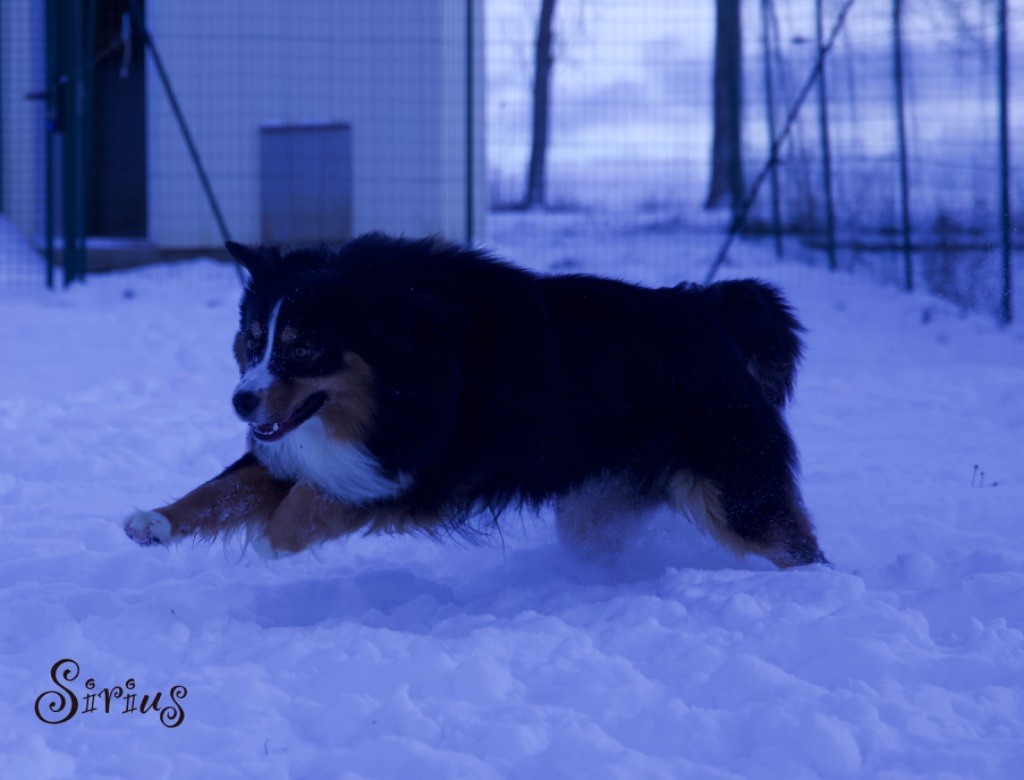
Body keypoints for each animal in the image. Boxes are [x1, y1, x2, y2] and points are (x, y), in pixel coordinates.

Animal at [123, 231, 827, 565]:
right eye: (250, 341)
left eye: (301, 350)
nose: (241, 403)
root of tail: (707, 309)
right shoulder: (297, 443)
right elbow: (224, 488)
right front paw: (155, 522)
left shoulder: (427, 466)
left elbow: (317, 498)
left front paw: (275, 541)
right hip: (596, 507)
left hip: (737, 485)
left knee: (793, 546)